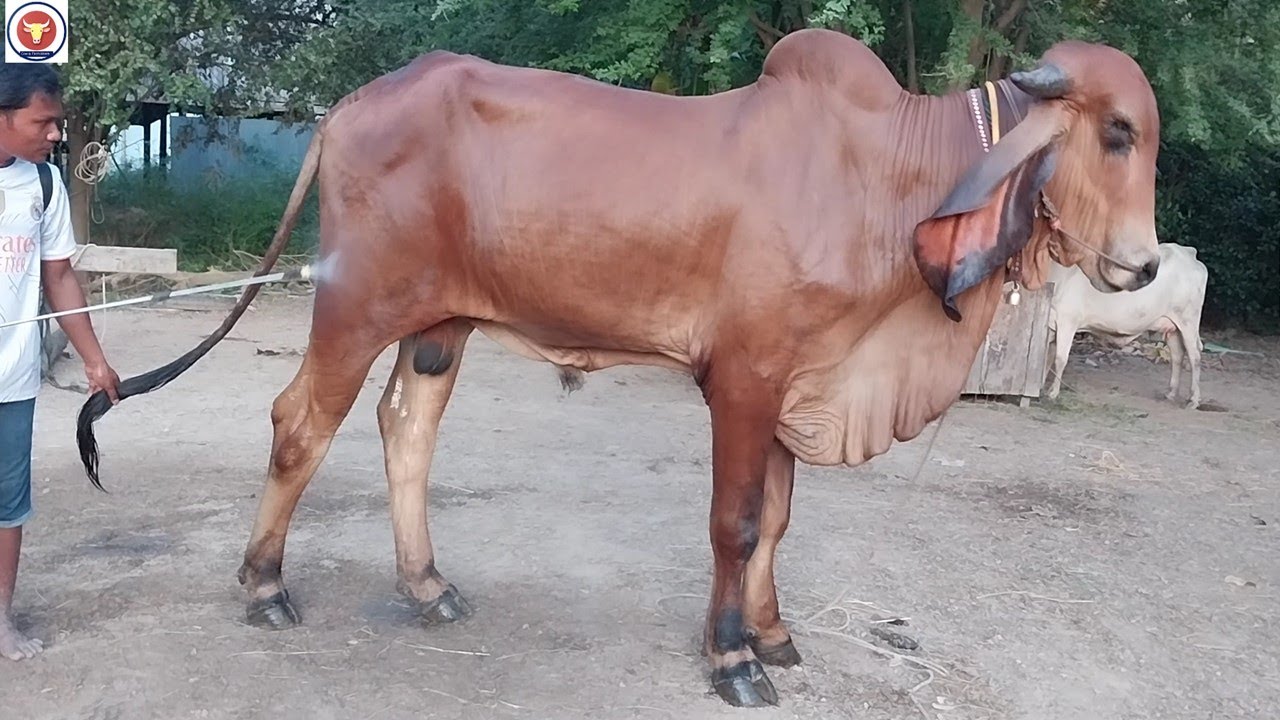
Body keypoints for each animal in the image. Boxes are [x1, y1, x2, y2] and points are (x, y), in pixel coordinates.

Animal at [74, 29, 1163, 707]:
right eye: (1115, 132)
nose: (1146, 264)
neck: (886, 182)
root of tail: (350, 105)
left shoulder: (798, 378)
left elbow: (777, 520)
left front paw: (773, 633)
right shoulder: (744, 378)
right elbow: (735, 523)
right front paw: (733, 657)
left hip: (440, 327)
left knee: (405, 432)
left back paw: (427, 586)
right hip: (355, 306)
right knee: (301, 422)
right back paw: (263, 587)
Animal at [1045, 242, 1208, 408]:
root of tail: (1187, 252)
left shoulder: (1067, 320)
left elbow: (1060, 358)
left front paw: (1053, 393)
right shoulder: (1051, 322)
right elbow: (1047, 356)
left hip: (1188, 321)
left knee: (1195, 357)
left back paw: (1193, 400)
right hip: (1172, 326)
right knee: (1177, 355)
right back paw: (1171, 393)